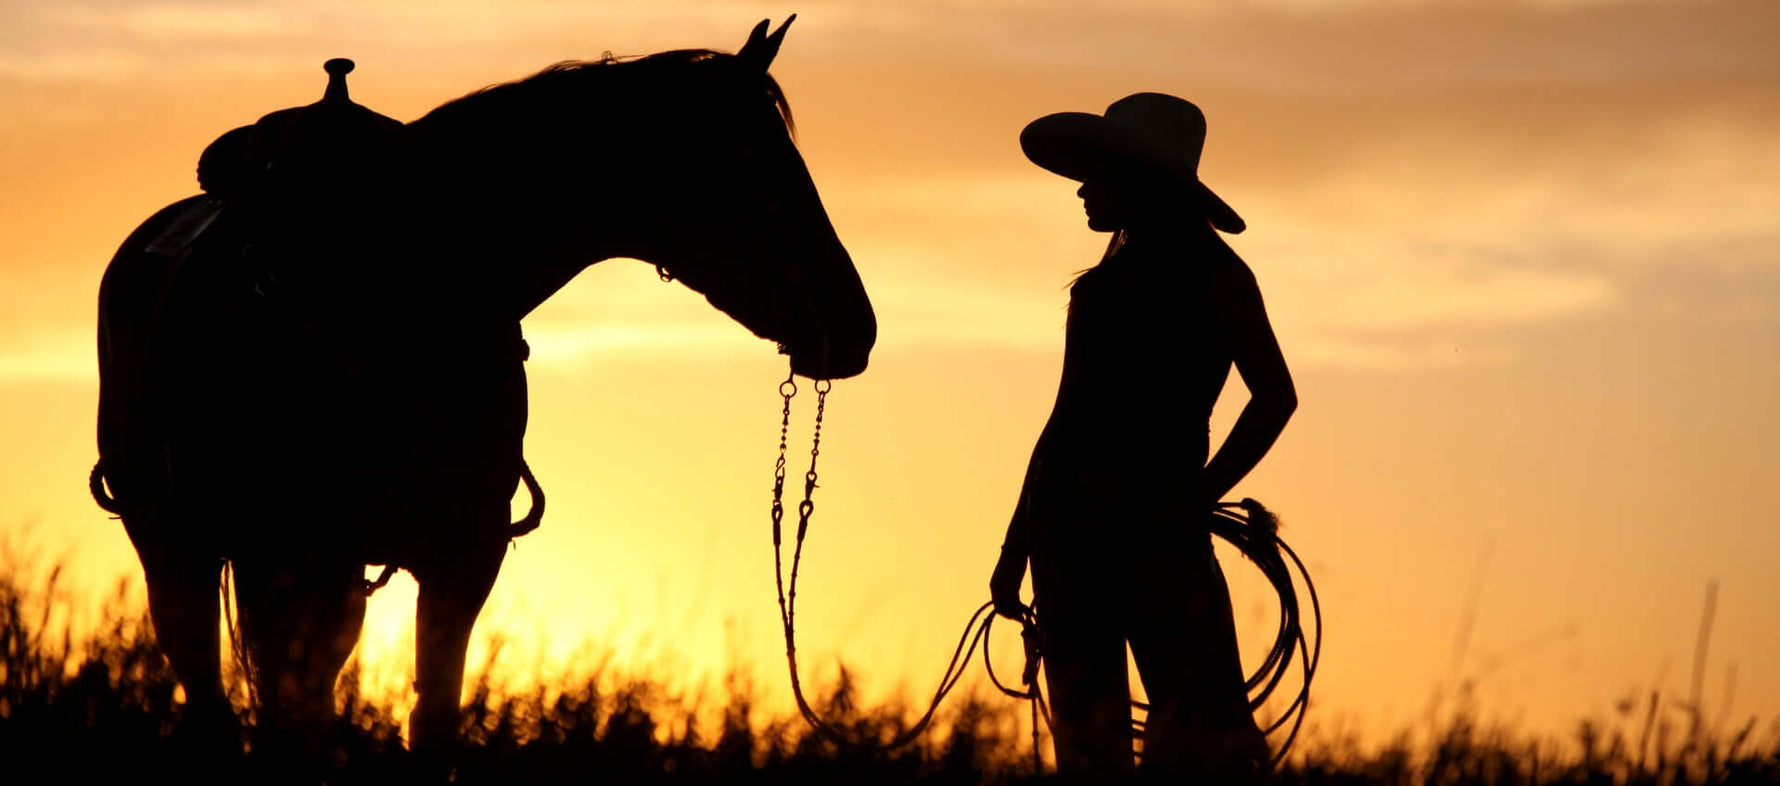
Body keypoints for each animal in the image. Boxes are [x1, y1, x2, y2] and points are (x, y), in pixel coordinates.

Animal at [89, 18, 875, 758]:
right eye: (758, 174)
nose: (855, 328)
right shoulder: (280, 553)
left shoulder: (461, 558)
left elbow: (430, 722)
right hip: (183, 551)